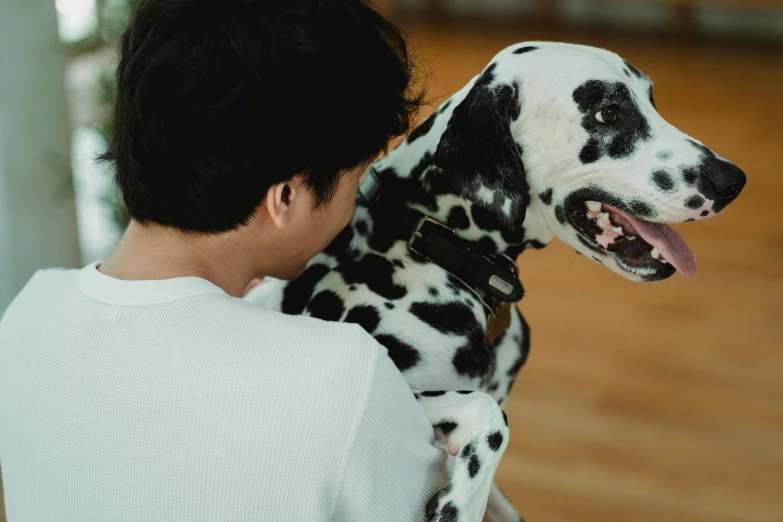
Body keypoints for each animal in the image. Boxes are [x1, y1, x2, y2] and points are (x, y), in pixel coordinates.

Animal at [245, 42, 748, 516]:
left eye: (651, 100)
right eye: (609, 112)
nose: (733, 180)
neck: (434, 243)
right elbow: (488, 416)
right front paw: (460, 504)